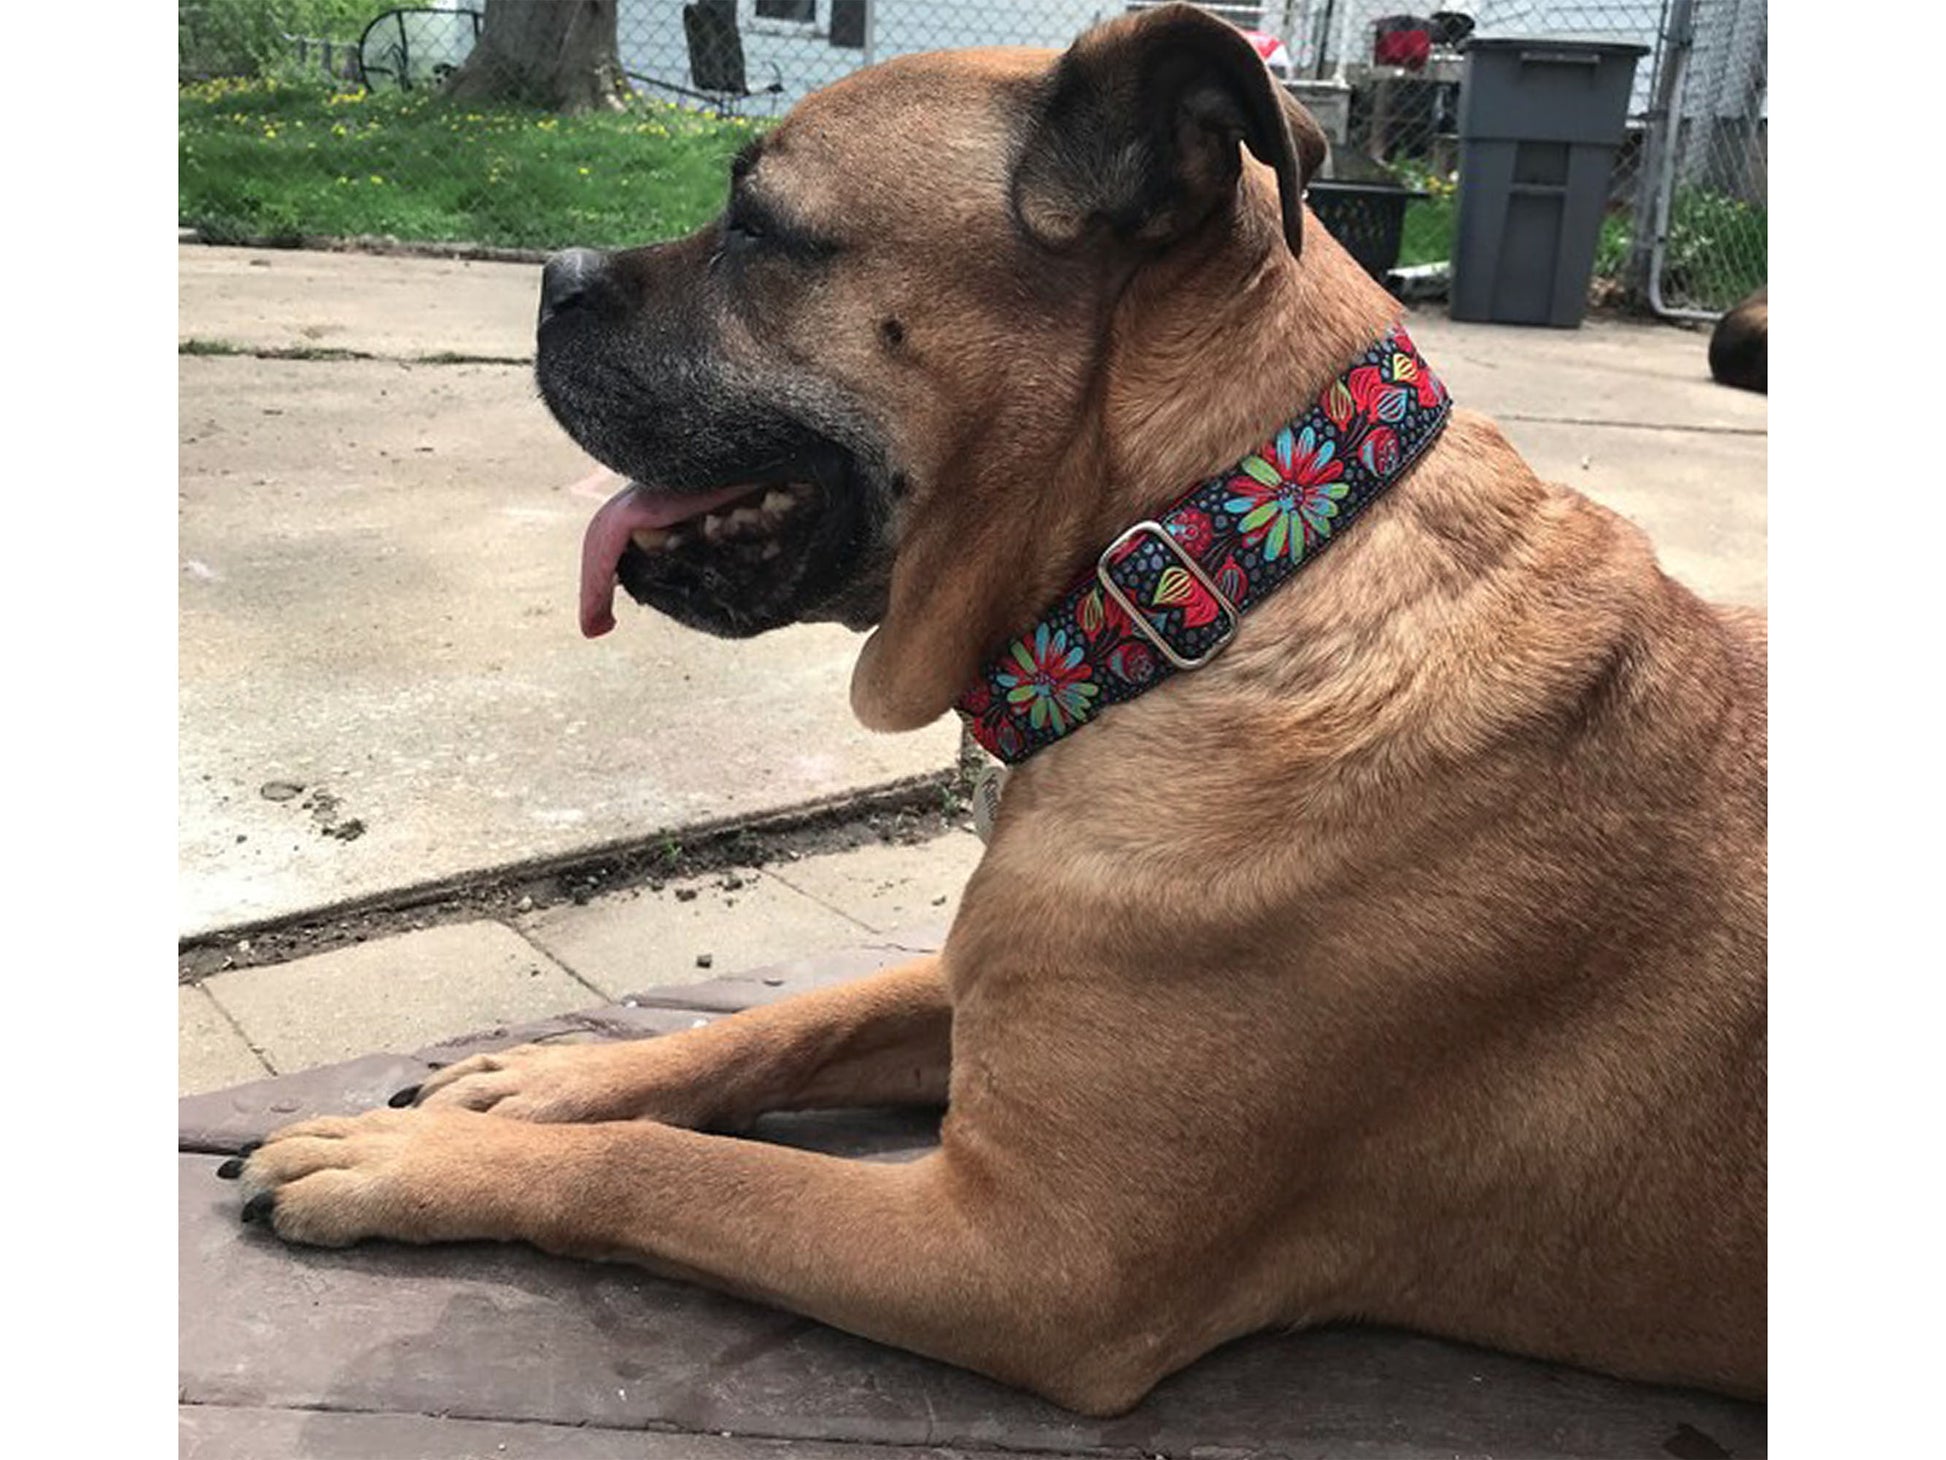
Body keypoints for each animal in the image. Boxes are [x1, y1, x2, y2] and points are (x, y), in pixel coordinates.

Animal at [227, 2, 1766, 1417]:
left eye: (760, 229)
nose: (549, 277)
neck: (1207, 578)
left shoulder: (1022, 1256)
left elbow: (680, 1169)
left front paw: (418, 1162)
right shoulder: (987, 985)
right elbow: (791, 1018)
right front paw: (536, 1082)